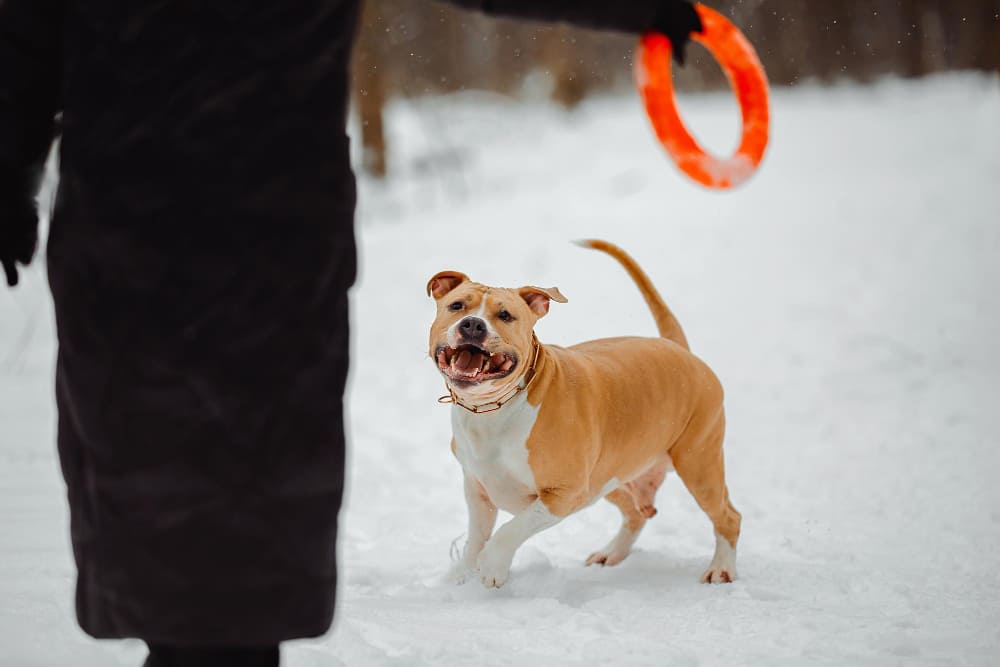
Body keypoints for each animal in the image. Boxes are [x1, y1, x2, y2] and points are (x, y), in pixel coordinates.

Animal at [426, 240, 740, 588]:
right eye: (456, 306)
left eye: (505, 315)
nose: (473, 324)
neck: (494, 408)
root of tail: (678, 348)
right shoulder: (477, 487)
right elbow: (476, 536)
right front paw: (460, 575)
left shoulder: (564, 494)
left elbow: (510, 530)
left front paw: (492, 565)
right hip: (612, 476)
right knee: (636, 512)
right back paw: (611, 553)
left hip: (698, 464)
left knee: (728, 516)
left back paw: (721, 568)